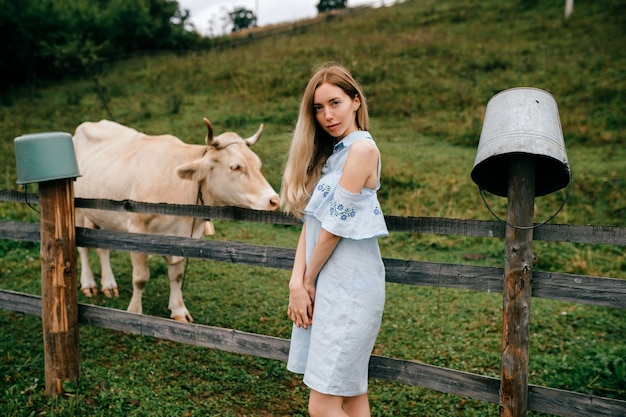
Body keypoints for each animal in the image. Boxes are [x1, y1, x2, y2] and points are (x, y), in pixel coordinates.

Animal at [73, 117, 278, 322]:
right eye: (235, 166)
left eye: (258, 165)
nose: (274, 200)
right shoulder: (137, 229)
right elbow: (140, 278)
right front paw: (134, 314)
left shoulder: (184, 236)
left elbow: (177, 276)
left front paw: (179, 310)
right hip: (78, 210)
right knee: (83, 248)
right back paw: (88, 284)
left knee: (102, 248)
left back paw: (108, 285)